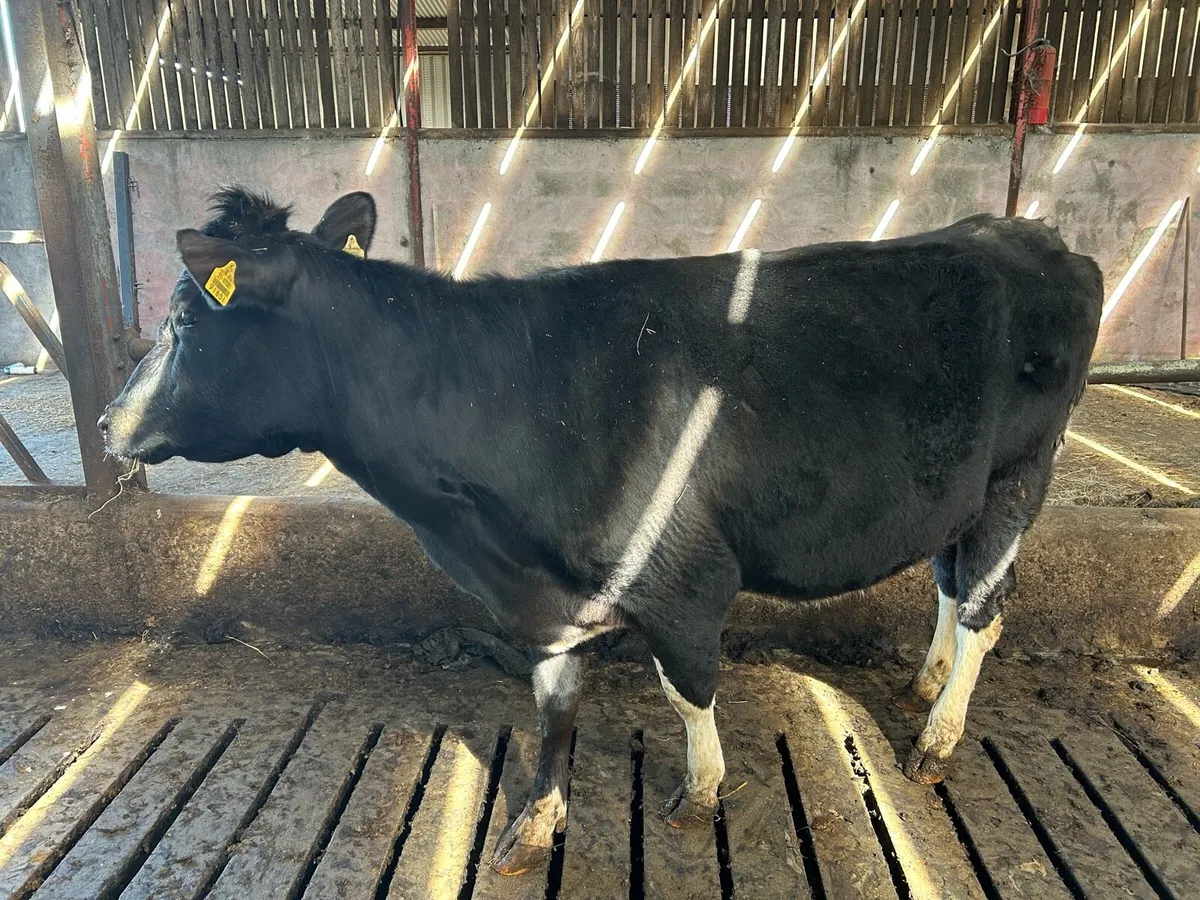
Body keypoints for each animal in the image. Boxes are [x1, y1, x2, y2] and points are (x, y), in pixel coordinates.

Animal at [101, 187, 1103, 876]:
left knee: (985, 607)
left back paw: (937, 737)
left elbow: (687, 689)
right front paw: (535, 822)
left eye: (184, 318)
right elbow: (554, 710)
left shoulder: (685, 574)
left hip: (1020, 478)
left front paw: (700, 793)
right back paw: (925, 682)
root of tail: (1030, 233)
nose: (108, 421)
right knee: (947, 582)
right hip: (954, 492)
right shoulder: (538, 598)